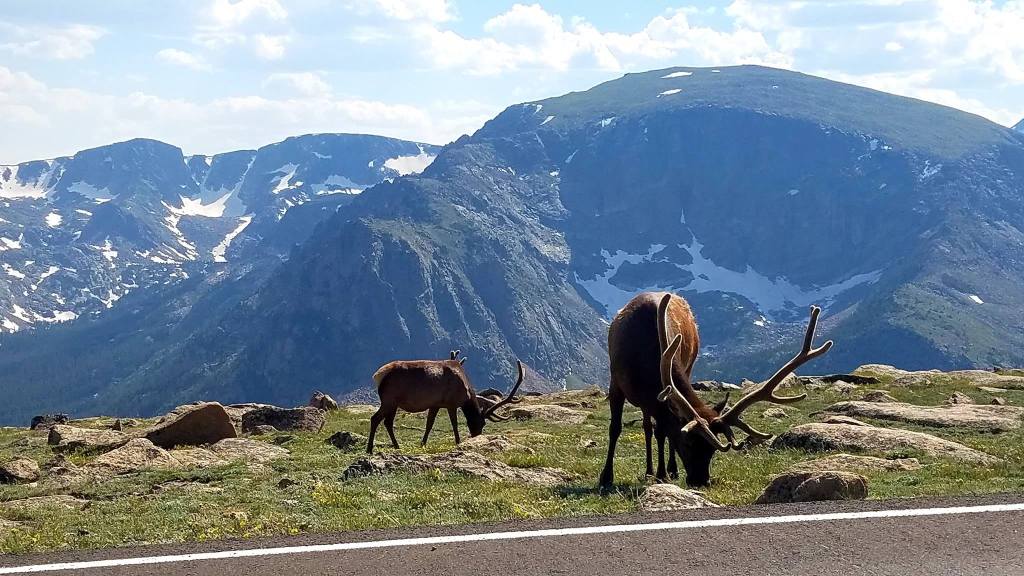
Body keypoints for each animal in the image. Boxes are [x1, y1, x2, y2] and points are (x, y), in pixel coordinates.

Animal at [367, 351, 525, 453]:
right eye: (482, 423)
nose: (476, 436)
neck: (466, 391)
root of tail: (378, 376)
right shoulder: (451, 403)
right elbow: (454, 424)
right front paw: (458, 442)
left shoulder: (435, 404)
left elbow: (429, 425)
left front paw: (422, 444)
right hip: (389, 400)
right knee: (375, 419)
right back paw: (370, 449)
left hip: (393, 403)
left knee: (387, 422)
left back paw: (396, 446)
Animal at [599, 292, 832, 488]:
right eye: (688, 442)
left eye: (712, 450)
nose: (701, 481)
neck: (644, 362)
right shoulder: (616, 382)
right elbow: (615, 428)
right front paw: (606, 477)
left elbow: (663, 431)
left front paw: (663, 474)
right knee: (648, 427)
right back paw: (649, 471)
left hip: (688, 366)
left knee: (653, 428)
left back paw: (667, 470)